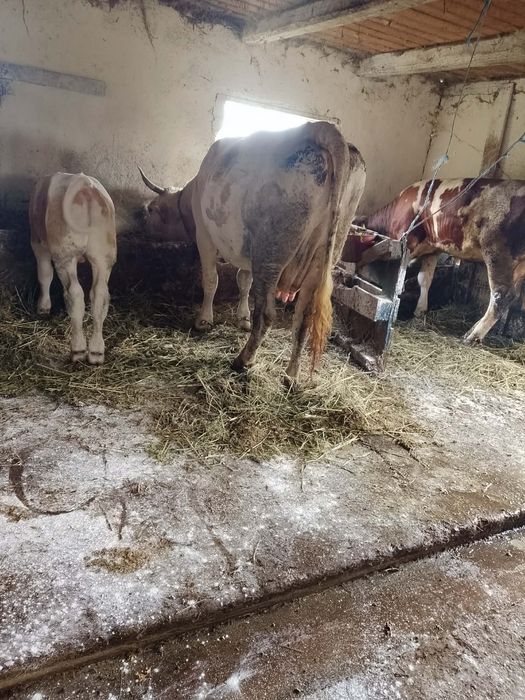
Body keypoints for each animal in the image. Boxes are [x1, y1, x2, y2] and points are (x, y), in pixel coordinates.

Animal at [29, 172, 117, 364]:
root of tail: (85, 185)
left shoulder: (37, 243)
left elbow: (44, 274)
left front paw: (43, 307)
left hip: (65, 254)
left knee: (75, 295)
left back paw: (77, 349)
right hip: (104, 255)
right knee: (100, 296)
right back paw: (96, 351)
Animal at [140, 122, 366, 381]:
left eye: (152, 209)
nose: (140, 224)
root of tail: (321, 128)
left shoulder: (205, 238)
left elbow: (211, 280)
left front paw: (204, 320)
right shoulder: (247, 255)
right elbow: (243, 283)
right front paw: (242, 317)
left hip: (270, 254)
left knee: (267, 314)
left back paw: (243, 359)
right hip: (320, 260)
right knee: (303, 319)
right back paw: (291, 375)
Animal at [358, 178, 525, 344]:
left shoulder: (406, 242)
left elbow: (400, 279)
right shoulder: (433, 250)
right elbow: (424, 279)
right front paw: (420, 310)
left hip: (498, 253)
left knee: (501, 295)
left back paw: (473, 336)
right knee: (512, 296)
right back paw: (472, 329)